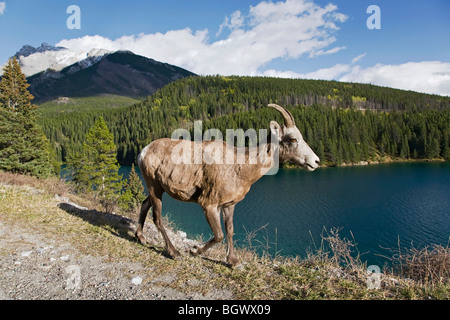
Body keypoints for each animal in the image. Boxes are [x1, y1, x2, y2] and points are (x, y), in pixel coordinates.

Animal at [135, 103, 318, 268]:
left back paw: (141, 238)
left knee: (144, 204)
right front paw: (194, 251)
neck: (239, 168)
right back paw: (174, 253)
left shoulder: (229, 205)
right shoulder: (208, 205)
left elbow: (229, 231)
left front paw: (234, 262)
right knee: (157, 218)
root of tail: (143, 152)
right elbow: (219, 235)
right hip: (154, 187)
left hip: (158, 189)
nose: (315, 162)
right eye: (293, 138)